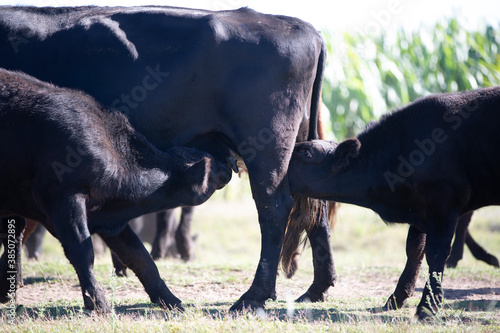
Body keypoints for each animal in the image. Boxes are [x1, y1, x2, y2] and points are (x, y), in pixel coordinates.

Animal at [0, 68, 229, 312]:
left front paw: (171, 300)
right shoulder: (64, 199)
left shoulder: (110, 222)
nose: (229, 163)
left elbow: (140, 257)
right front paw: (98, 303)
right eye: (212, 164)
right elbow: (82, 250)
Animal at [290, 86, 500, 320]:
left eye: (307, 153)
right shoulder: (420, 213)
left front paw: (427, 307)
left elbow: (435, 253)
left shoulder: (444, 205)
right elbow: (414, 250)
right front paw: (397, 298)